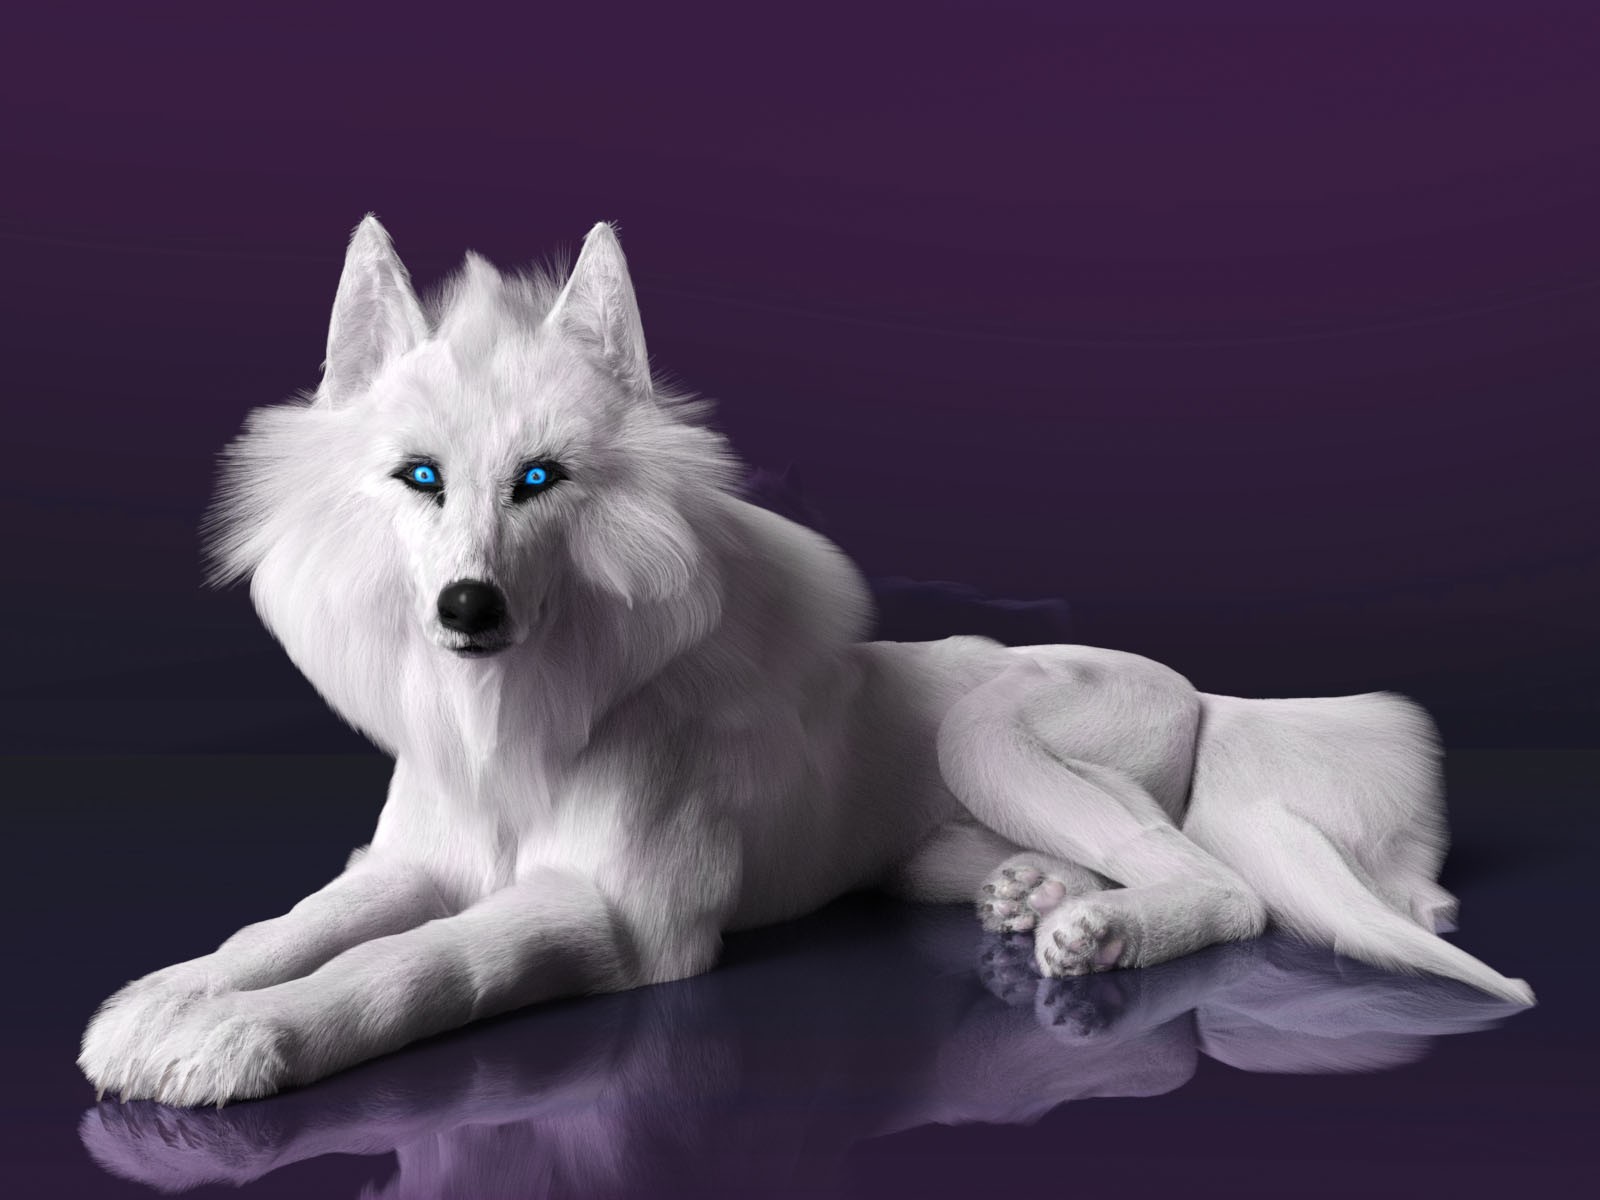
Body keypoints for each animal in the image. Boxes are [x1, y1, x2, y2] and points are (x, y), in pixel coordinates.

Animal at [78, 217, 1533, 1108]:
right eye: (419, 479)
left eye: (541, 480)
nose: (467, 607)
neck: (526, 728)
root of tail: (1206, 691)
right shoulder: (403, 868)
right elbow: (292, 928)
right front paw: (172, 997)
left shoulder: (618, 922)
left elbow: (419, 965)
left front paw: (242, 1036)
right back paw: (1039, 896)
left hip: (990, 732)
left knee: (1221, 885)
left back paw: (1099, 926)